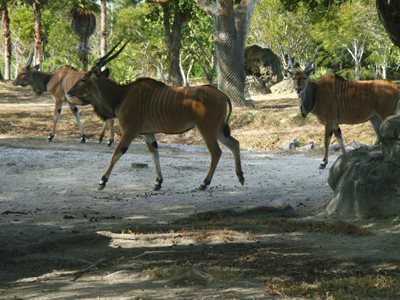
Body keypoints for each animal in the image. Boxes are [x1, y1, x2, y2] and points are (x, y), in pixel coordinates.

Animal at [67, 40, 245, 190]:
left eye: (83, 79)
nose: (69, 91)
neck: (121, 96)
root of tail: (222, 95)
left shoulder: (130, 131)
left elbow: (117, 152)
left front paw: (102, 181)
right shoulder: (148, 133)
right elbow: (155, 154)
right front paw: (158, 182)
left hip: (207, 129)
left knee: (216, 152)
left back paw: (204, 183)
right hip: (218, 130)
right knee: (234, 144)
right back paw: (240, 177)